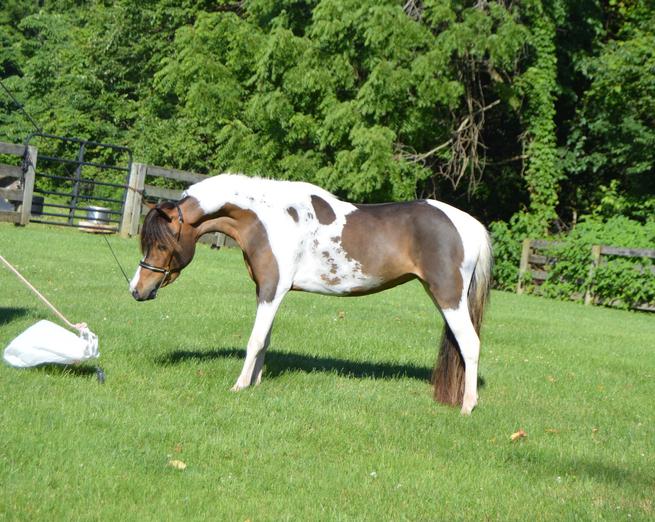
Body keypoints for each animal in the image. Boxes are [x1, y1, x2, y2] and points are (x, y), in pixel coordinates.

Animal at [129, 174, 492, 414]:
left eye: (161, 245)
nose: (137, 289)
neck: (268, 220)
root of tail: (470, 225)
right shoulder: (267, 291)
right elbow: (265, 340)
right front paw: (256, 383)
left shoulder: (272, 290)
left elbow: (255, 340)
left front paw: (239, 386)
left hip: (449, 297)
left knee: (470, 345)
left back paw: (467, 407)